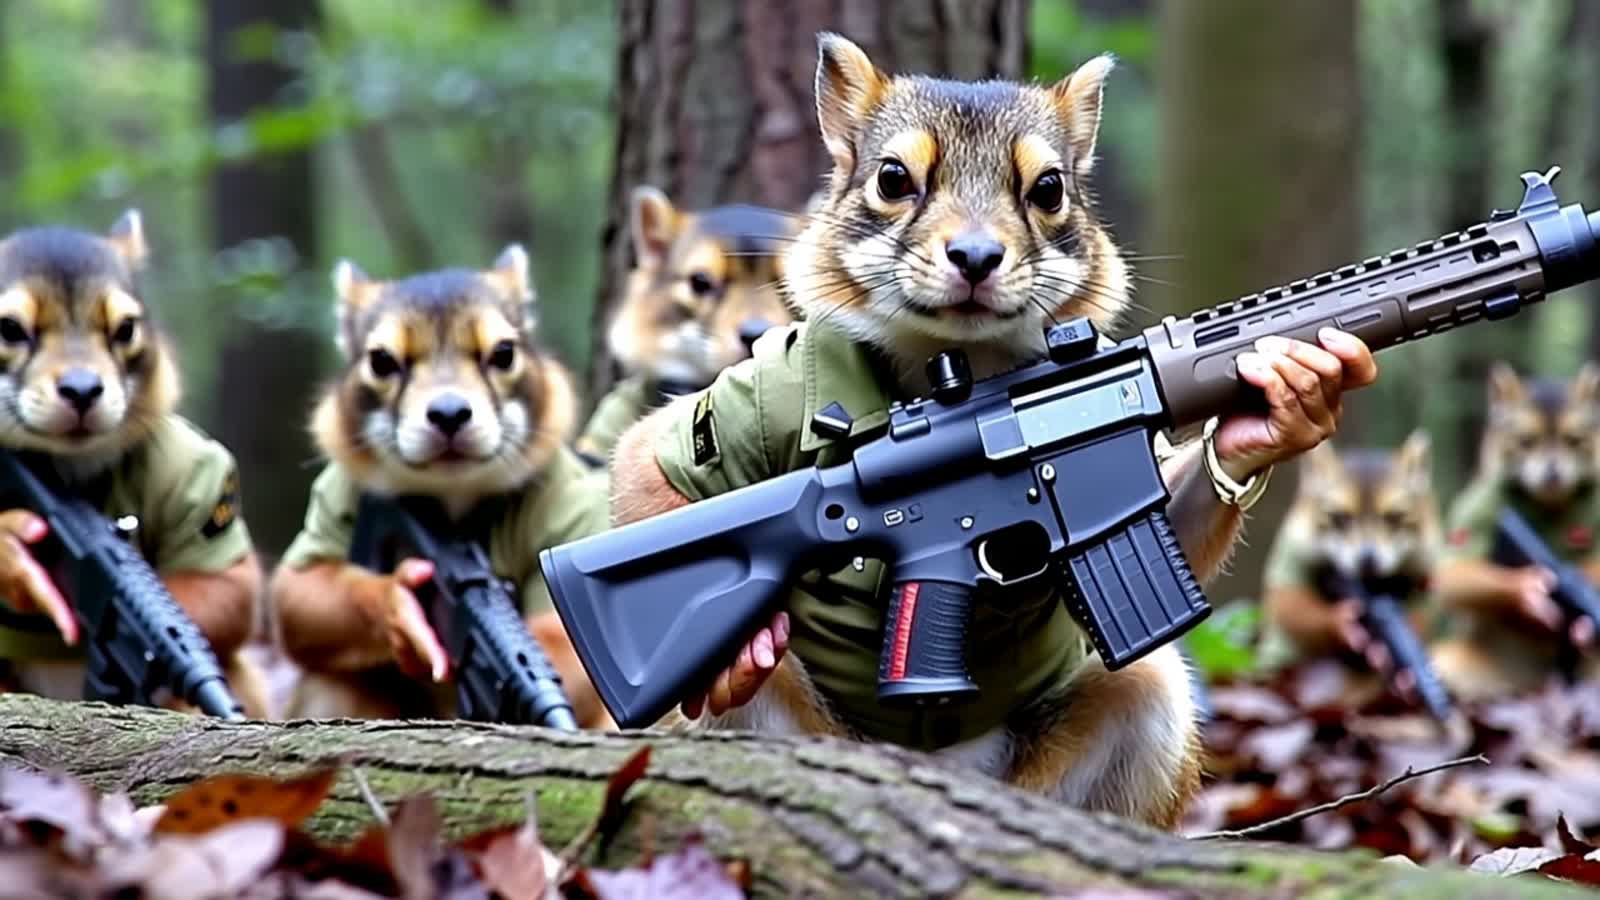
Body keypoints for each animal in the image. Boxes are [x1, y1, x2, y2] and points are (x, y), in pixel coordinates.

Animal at [0, 213, 267, 716]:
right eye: (9, 329)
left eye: (126, 330)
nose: (82, 390)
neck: (65, 465)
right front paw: (15, 556)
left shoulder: (188, 466)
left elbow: (231, 588)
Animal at [269, 247, 614, 727]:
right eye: (380, 361)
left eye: (504, 353)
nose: (449, 413)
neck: (452, 495)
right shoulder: (336, 494)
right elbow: (297, 595)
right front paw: (398, 605)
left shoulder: (569, 503)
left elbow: (570, 638)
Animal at [605, 33, 1377, 829]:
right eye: (892, 178)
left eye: (1050, 189)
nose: (975, 257)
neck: (958, 369)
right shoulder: (762, 386)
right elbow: (640, 461)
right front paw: (736, 652)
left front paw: (1276, 412)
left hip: (1120, 713)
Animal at [1431, 363, 1600, 698]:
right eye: (1526, 441)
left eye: (1573, 440)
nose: (1553, 473)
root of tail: (1531, 684)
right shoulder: (1481, 503)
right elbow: (1451, 575)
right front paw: (1527, 589)